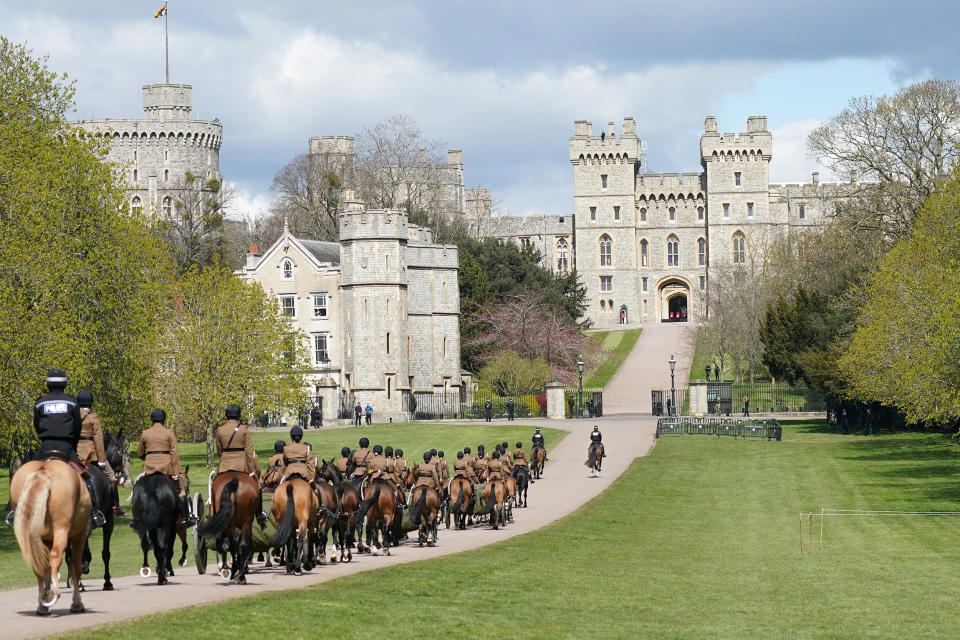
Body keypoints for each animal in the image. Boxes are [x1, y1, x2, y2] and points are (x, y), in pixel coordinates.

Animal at [9, 460, 90, 616]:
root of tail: (43, 471)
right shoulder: (79, 536)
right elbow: (75, 568)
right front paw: (77, 603)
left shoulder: (45, 540)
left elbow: (45, 568)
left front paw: (45, 597)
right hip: (62, 531)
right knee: (56, 557)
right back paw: (55, 594)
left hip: (32, 537)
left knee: (38, 565)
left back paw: (43, 605)